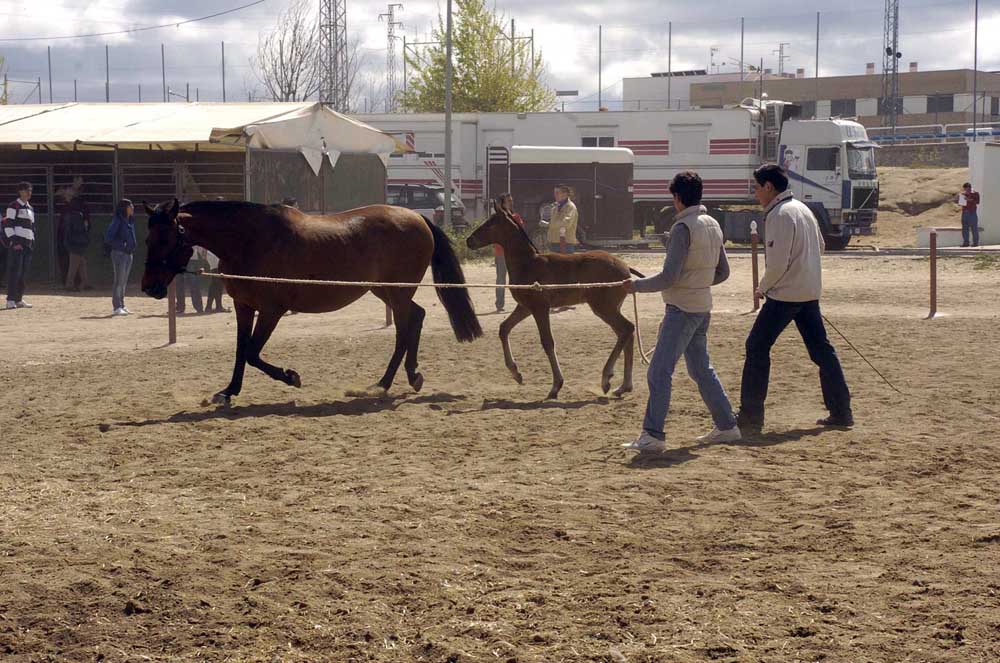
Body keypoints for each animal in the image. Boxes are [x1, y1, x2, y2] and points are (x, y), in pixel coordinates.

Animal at [143, 198, 482, 404]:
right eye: (148, 239)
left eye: (166, 238)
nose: (149, 287)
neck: (250, 241)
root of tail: (416, 217)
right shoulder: (244, 307)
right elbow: (241, 351)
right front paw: (228, 392)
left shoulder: (272, 311)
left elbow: (252, 353)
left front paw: (291, 377)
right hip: (385, 290)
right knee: (418, 316)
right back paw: (410, 376)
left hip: (396, 293)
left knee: (404, 330)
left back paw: (383, 384)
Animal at [464, 202, 636, 400]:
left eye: (490, 224)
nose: (469, 240)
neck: (528, 264)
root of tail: (625, 267)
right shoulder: (525, 307)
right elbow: (504, 329)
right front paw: (516, 373)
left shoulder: (540, 308)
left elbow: (547, 342)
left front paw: (556, 386)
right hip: (611, 308)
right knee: (626, 334)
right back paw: (623, 386)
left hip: (603, 307)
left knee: (627, 329)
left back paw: (606, 378)